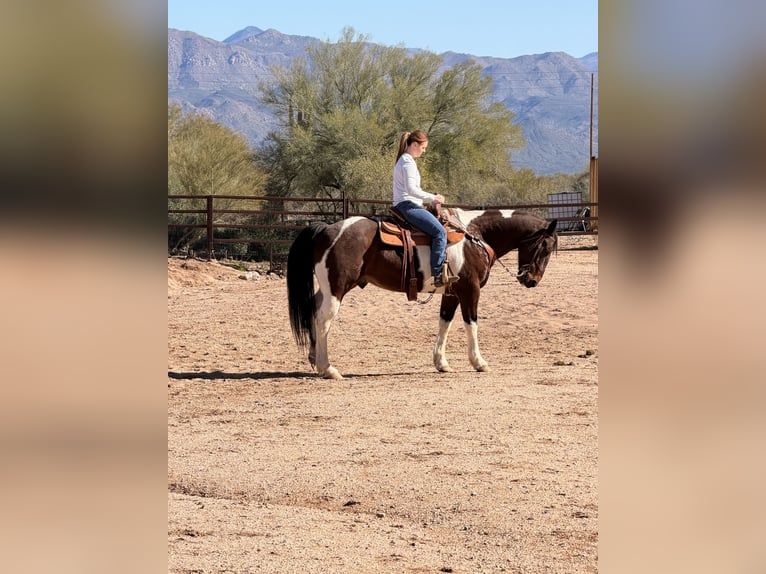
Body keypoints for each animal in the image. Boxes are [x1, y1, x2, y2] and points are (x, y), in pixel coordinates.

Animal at [286, 208, 558, 379]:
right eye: (545, 247)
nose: (532, 281)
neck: (476, 236)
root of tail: (326, 229)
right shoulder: (470, 290)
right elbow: (471, 323)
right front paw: (479, 362)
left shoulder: (452, 293)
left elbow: (444, 323)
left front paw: (441, 363)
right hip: (336, 288)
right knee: (323, 320)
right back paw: (328, 368)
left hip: (327, 288)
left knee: (314, 314)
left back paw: (315, 359)